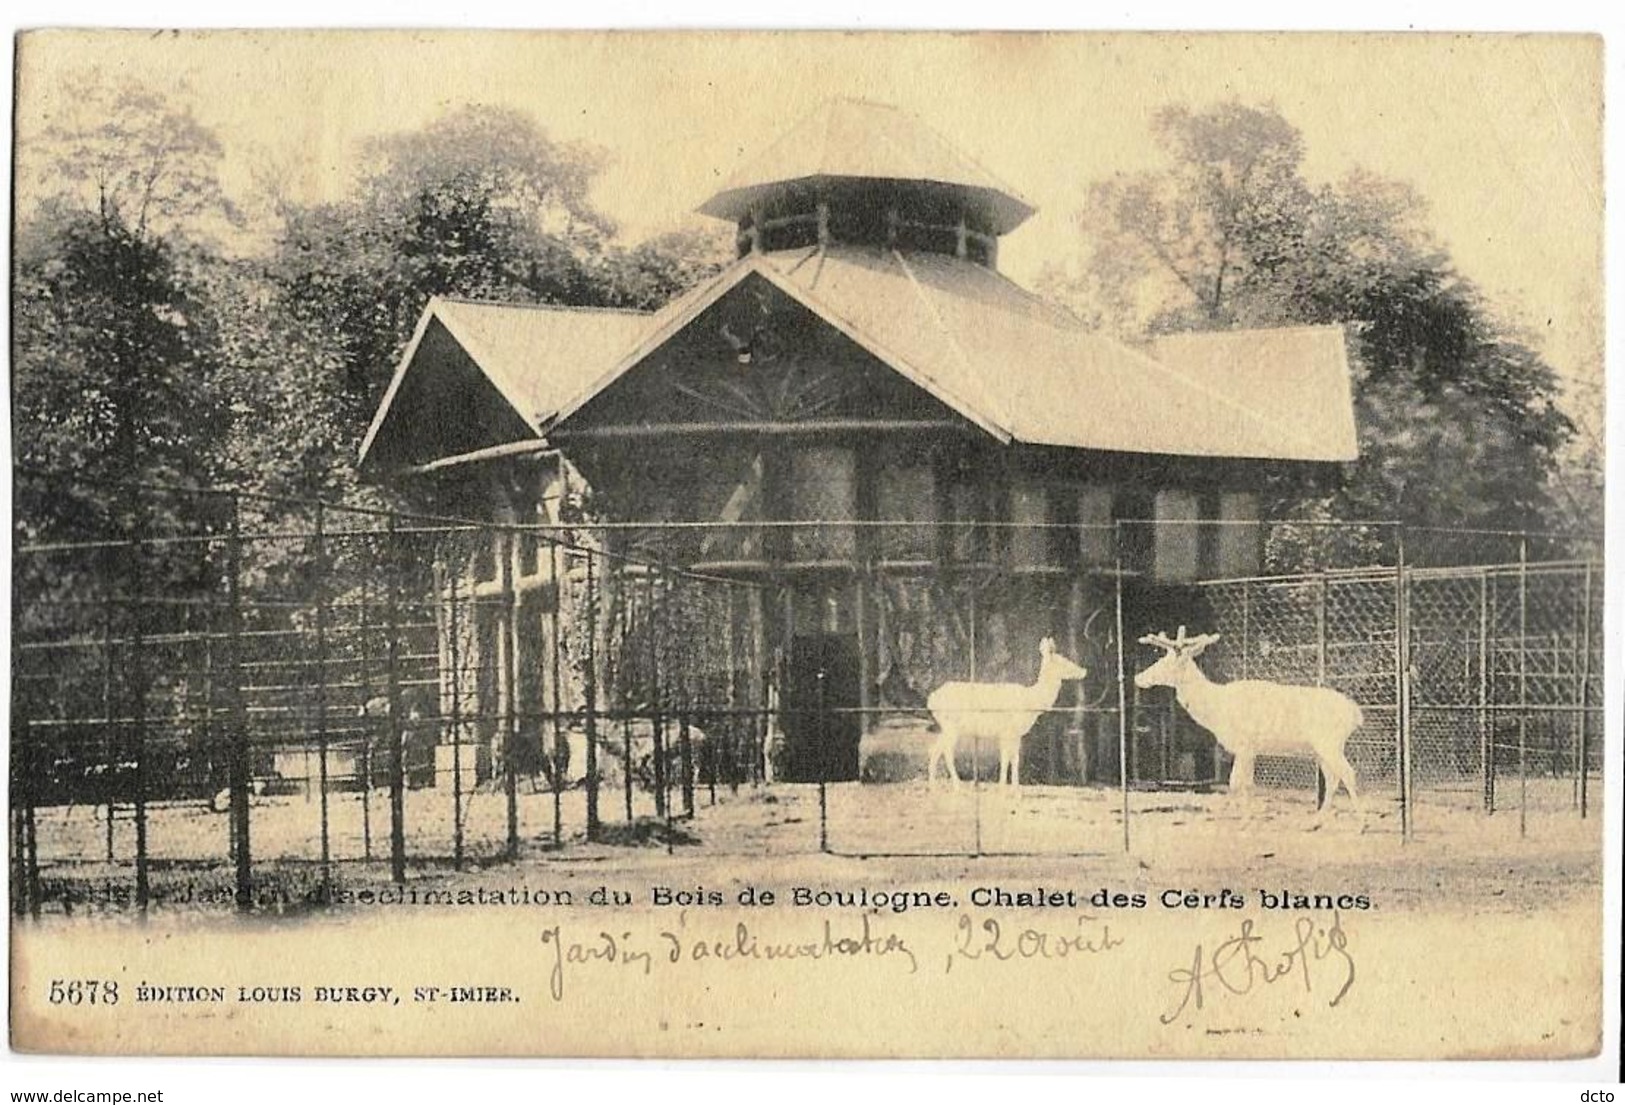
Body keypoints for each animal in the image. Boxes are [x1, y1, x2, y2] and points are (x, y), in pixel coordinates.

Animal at [929, 640, 1092, 786]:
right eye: (1064, 661)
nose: (1084, 670)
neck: (1031, 701)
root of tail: (931, 700)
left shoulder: (1015, 734)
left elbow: (1015, 759)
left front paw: (1015, 788)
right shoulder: (1007, 731)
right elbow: (1006, 758)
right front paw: (1003, 787)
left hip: (947, 728)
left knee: (937, 750)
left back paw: (934, 784)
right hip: (951, 726)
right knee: (945, 751)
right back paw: (956, 785)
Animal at [1137, 627, 1365, 815]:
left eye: (1165, 662)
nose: (1137, 678)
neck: (1217, 709)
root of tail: (1355, 713)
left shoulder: (1244, 744)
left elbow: (1235, 783)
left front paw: (1241, 817)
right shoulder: (1250, 750)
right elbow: (1247, 784)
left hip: (1330, 743)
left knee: (1349, 774)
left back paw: (1360, 823)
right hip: (1321, 749)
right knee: (1333, 778)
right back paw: (1318, 820)